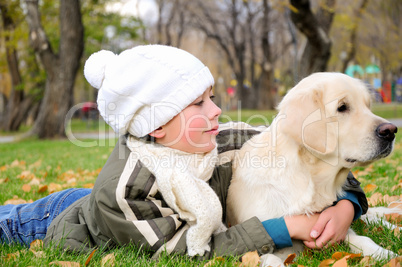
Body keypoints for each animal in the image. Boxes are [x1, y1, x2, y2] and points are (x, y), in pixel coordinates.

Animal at [226, 72, 398, 266]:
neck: (311, 178)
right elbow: (270, 257)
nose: (391, 131)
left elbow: (361, 238)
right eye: (342, 107)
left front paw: (384, 254)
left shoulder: (333, 223)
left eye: (368, 106)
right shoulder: (251, 250)